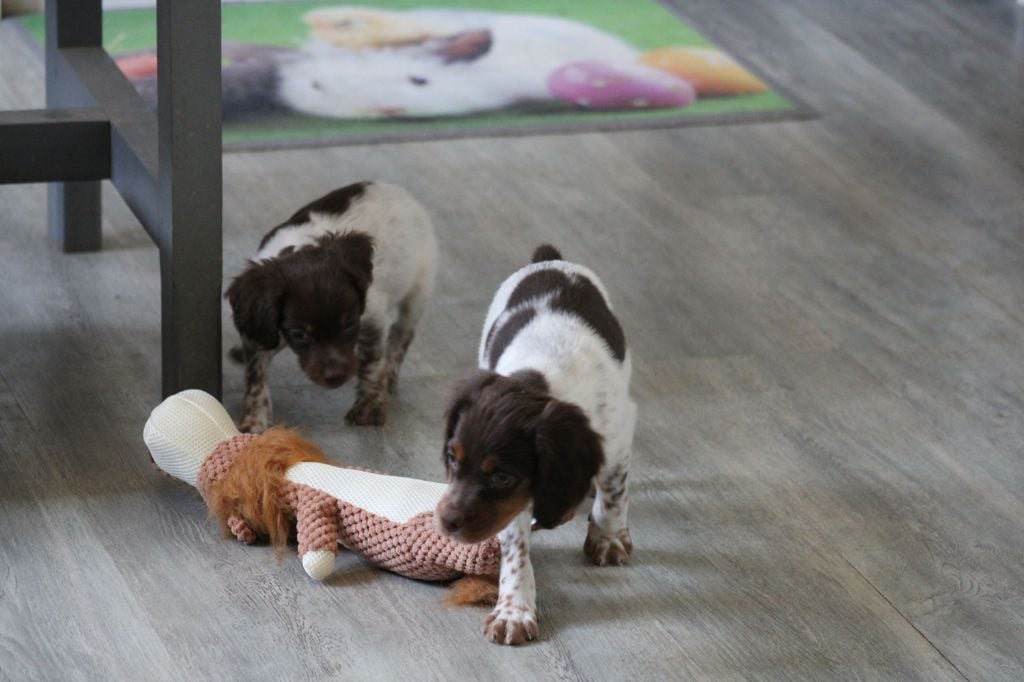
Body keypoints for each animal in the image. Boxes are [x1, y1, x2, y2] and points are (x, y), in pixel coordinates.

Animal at [226, 181, 437, 432]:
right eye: (299, 333)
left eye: (349, 322)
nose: (335, 377)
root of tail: (394, 189)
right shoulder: (261, 325)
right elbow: (255, 375)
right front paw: (255, 421)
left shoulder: (372, 320)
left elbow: (371, 363)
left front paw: (369, 406)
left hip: (418, 289)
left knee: (402, 333)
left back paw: (390, 373)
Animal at [435, 244, 636, 645]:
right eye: (452, 458)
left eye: (501, 477)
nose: (446, 522)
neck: (542, 379)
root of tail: (549, 259)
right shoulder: (511, 505)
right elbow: (516, 548)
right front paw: (514, 609)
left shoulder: (619, 433)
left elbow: (613, 493)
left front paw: (607, 537)